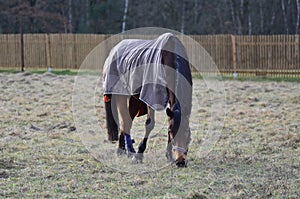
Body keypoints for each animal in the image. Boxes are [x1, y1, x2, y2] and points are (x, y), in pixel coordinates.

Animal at [102, 33, 192, 167]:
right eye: (171, 132)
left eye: (187, 133)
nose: (180, 162)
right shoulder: (151, 96)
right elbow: (150, 124)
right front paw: (139, 155)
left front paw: (168, 156)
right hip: (120, 95)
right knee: (125, 121)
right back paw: (125, 151)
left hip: (135, 99)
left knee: (128, 120)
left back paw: (126, 150)